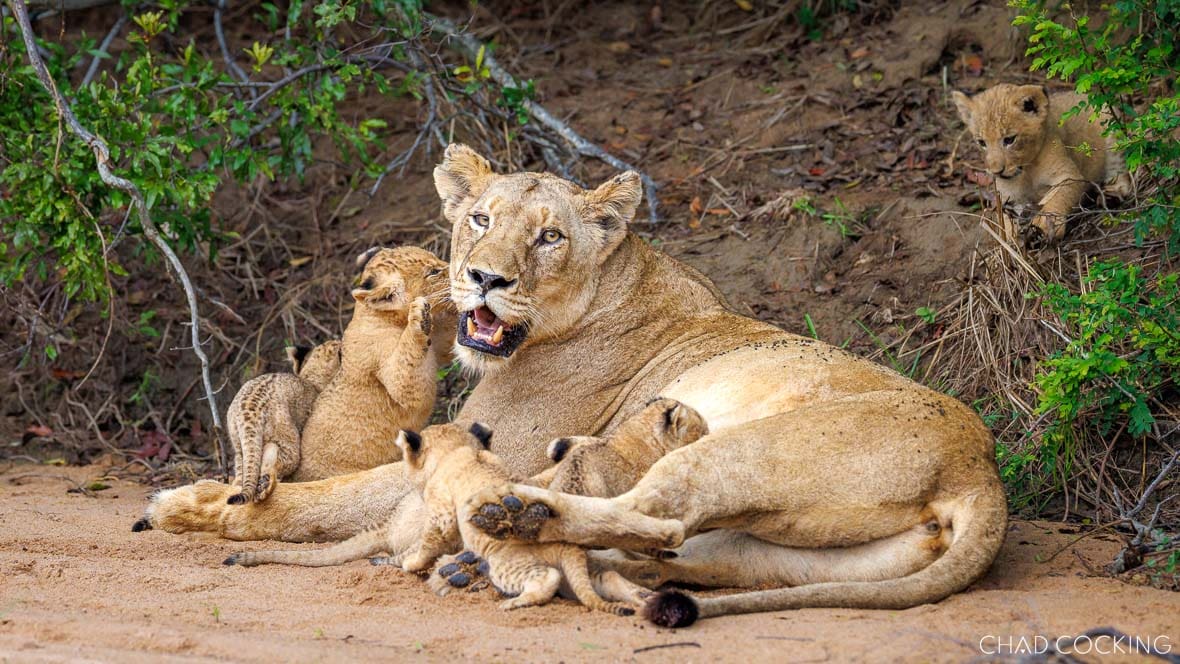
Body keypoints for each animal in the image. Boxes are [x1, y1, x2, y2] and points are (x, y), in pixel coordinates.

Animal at [225, 340, 342, 504]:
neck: (311, 377)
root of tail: (248, 412)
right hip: (287, 441)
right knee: (274, 461)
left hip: (238, 444)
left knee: (243, 474)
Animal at [952, 83, 1134, 244]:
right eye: (982, 142)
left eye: (1009, 140)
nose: (996, 172)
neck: (1026, 170)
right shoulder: (1006, 195)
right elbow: (1003, 215)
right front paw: (1009, 236)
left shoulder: (1070, 175)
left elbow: (1058, 197)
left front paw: (1044, 226)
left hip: (1112, 130)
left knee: (1119, 171)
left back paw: (1112, 194)